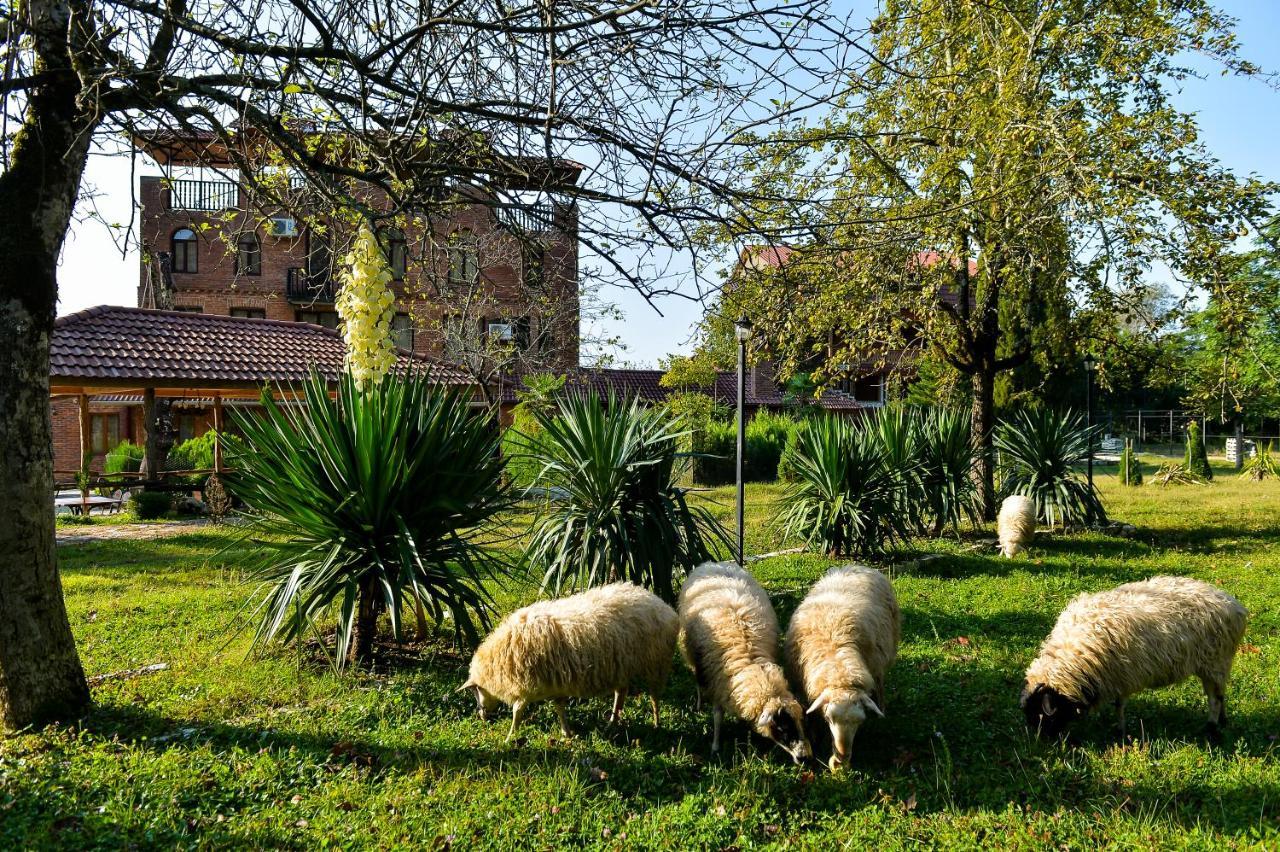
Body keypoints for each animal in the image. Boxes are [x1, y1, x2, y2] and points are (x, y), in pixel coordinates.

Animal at [460, 578, 680, 736]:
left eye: (475, 691)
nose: (481, 716)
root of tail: (663, 605)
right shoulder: (555, 684)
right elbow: (559, 708)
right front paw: (567, 732)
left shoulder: (525, 686)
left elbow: (517, 711)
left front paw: (510, 736)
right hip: (621, 665)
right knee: (621, 692)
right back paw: (612, 722)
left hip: (656, 662)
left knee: (654, 696)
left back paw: (656, 723)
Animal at [680, 560, 808, 757]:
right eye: (782, 728)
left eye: (800, 723)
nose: (804, 757)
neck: (749, 661)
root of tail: (714, 563)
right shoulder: (717, 680)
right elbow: (717, 716)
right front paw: (715, 746)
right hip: (694, 657)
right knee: (697, 681)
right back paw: (700, 704)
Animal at [778, 562, 901, 767]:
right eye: (828, 718)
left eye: (859, 722)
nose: (842, 757)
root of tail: (857, 566)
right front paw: (815, 736)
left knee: (880, 681)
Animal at [1018, 570, 1249, 736]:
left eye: (1042, 714)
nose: (1041, 740)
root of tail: (1234, 604)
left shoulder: (1121, 677)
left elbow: (1119, 706)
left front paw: (1120, 732)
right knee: (1220, 694)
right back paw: (1222, 721)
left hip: (1215, 662)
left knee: (1215, 698)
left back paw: (1211, 728)